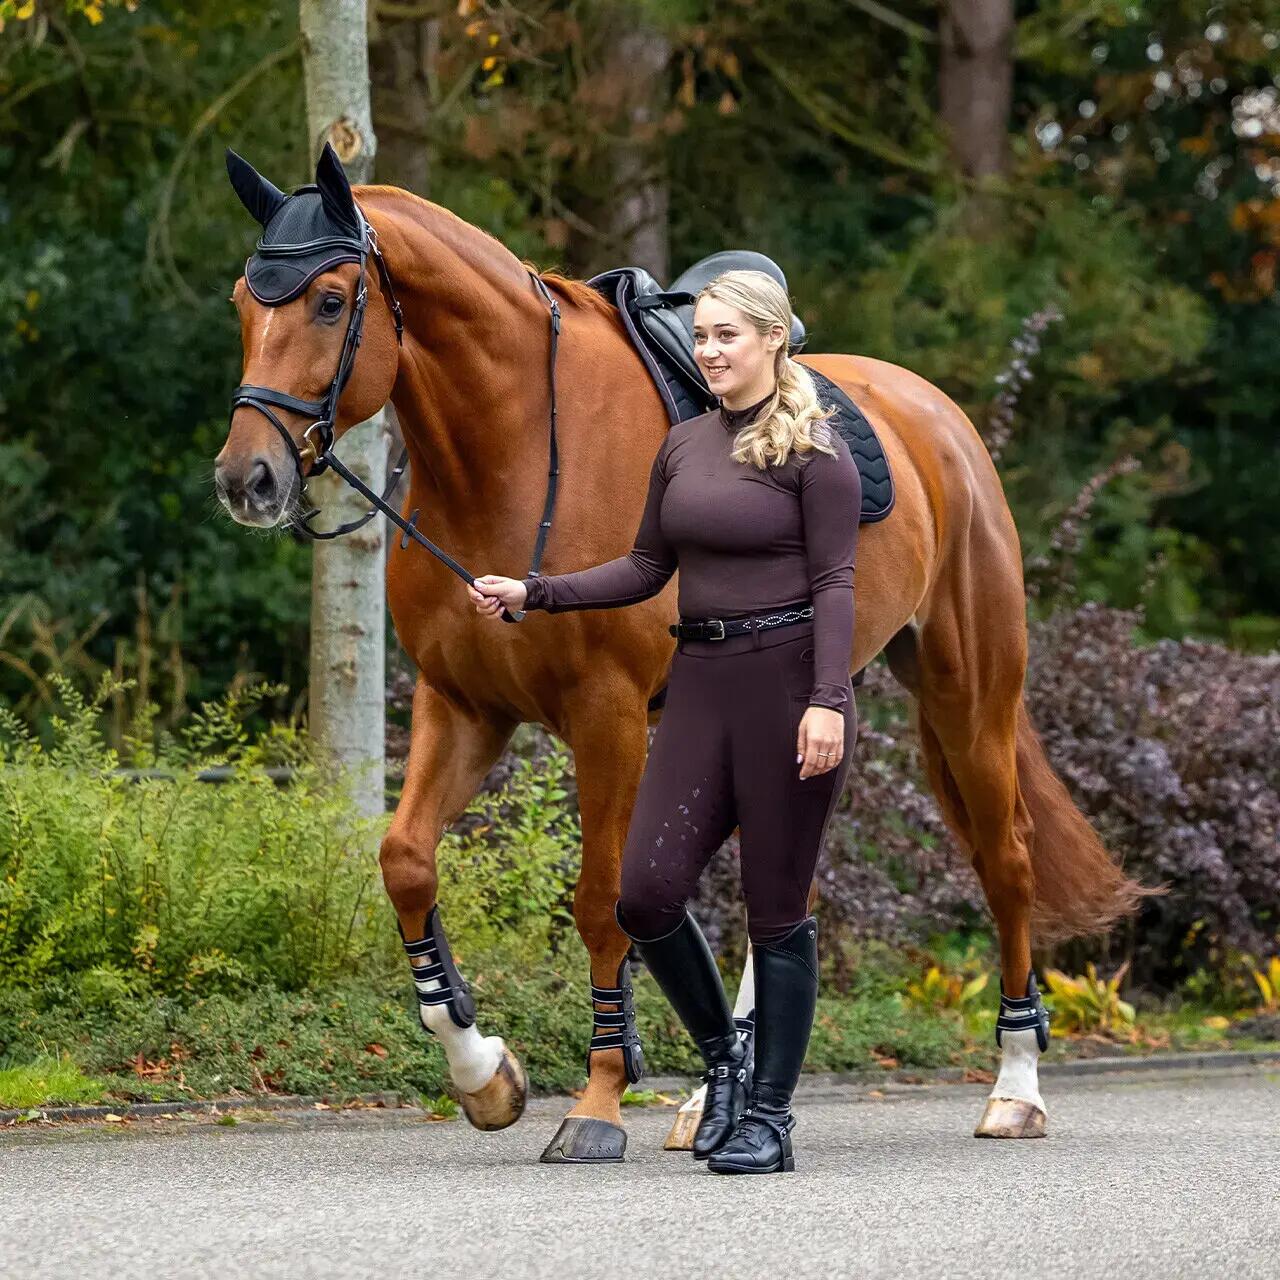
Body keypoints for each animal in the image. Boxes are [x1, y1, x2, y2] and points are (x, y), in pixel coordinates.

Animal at [214, 148, 1144, 1161]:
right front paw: (484, 1072)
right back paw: (715, 1095)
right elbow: (408, 861)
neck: (516, 450)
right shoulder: (464, 706)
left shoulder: (608, 717)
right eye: (242, 301)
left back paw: (1014, 1089)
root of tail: (940, 419)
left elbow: (600, 901)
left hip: (969, 697)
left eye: (330, 301)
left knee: (1006, 863)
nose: (245, 478)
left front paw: (596, 1103)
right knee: (784, 888)